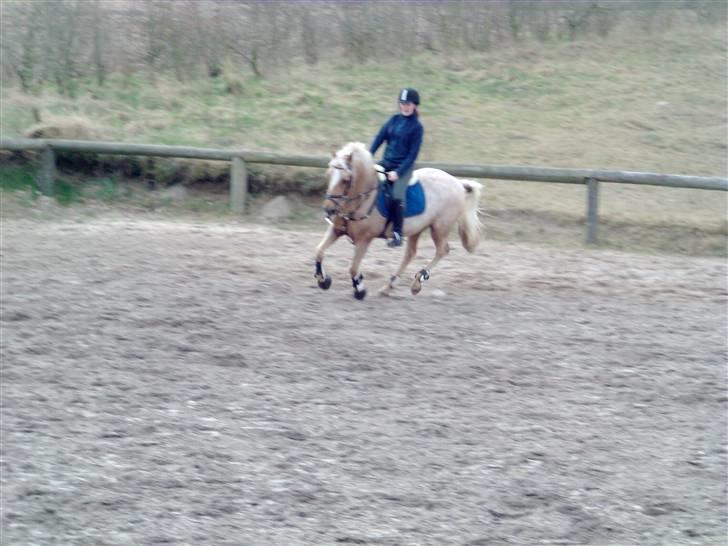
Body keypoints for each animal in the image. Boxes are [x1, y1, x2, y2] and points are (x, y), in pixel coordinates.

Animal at [312, 141, 484, 298]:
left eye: (345, 180)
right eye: (328, 175)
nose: (329, 209)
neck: (361, 199)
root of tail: (457, 182)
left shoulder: (364, 239)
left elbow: (353, 268)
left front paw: (360, 290)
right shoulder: (336, 230)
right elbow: (318, 251)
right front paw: (323, 280)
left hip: (439, 228)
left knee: (442, 250)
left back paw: (417, 282)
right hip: (417, 229)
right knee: (411, 254)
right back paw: (389, 286)